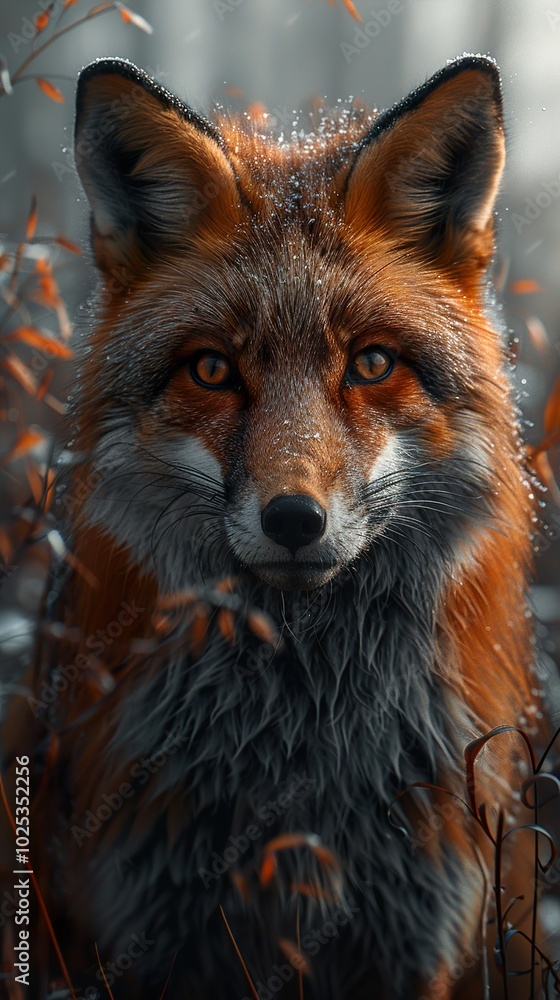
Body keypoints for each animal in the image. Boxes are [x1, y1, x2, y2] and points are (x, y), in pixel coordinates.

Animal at [0, 54, 547, 999]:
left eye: (372, 363)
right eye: (213, 370)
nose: (294, 518)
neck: (300, 758)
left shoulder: (417, 938)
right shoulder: (142, 935)